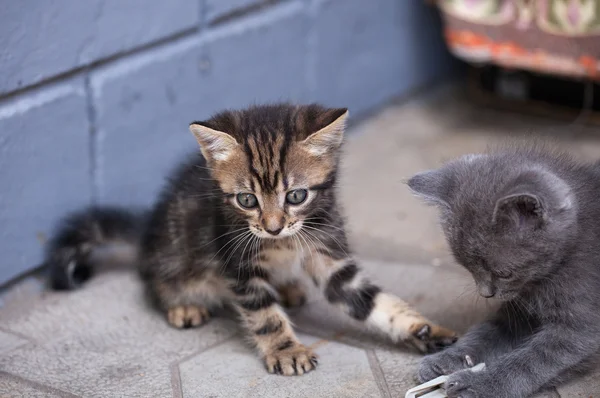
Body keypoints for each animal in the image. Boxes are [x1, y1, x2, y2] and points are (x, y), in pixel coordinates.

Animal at [47, 103, 458, 376]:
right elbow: (264, 315)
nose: (273, 226)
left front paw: (424, 330)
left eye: (297, 196)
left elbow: (372, 301)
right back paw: (181, 305)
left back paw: (289, 288)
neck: (284, 242)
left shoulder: (329, 252)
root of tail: (150, 228)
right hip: (175, 257)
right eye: (247, 200)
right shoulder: (238, 264)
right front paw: (286, 350)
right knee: (153, 278)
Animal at [408, 147, 600, 398]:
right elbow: (487, 331)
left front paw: (478, 384)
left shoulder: (582, 327)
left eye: (504, 273)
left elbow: (533, 362)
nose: (485, 293)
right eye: (468, 267)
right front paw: (448, 358)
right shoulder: (518, 311)